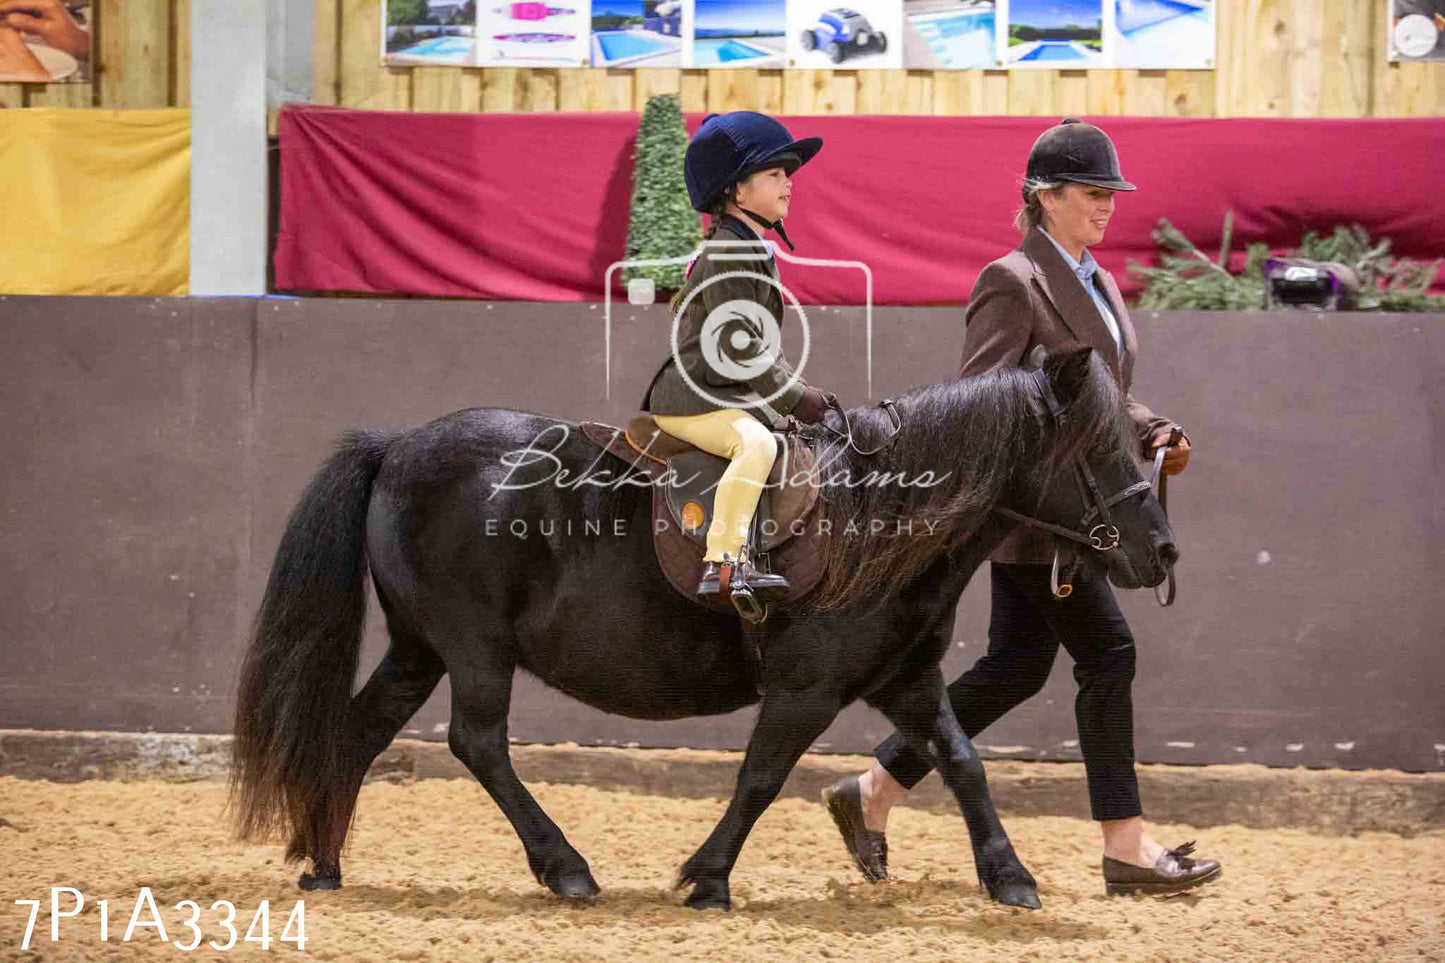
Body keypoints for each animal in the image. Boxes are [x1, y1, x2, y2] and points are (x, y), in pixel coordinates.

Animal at [228, 345, 1173, 908]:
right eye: (1099, 452)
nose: (1160, 552)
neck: (875, 516)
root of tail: (396, 446)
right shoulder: (805, 688)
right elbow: (759, 777)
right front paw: (707, 877)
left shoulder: (905, 678)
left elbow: (964, 763)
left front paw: (1009, 877)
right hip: (472, 648)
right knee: (477, 742)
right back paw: (565, 866)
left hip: (419, 647)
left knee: (359, 731)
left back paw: (325, 862)